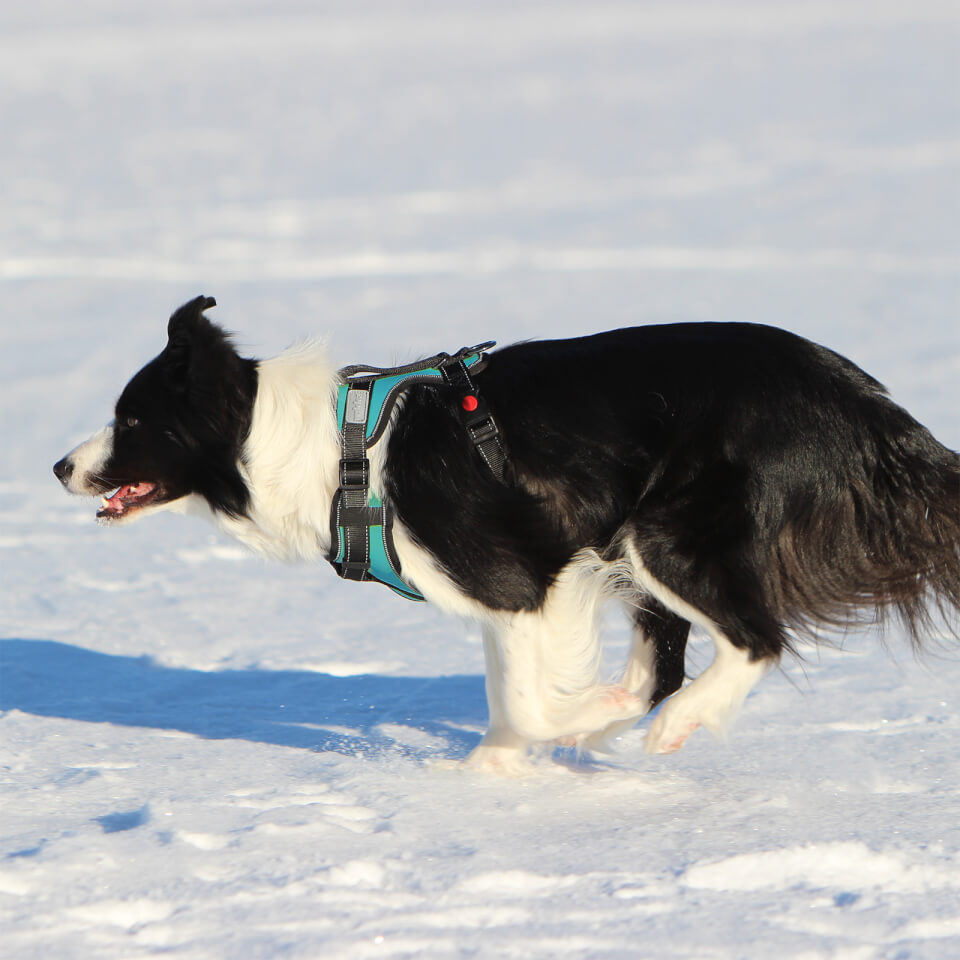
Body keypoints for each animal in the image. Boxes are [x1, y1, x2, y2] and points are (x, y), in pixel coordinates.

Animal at [54, 294, 960, 772]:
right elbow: (510, 696)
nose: (60, 466)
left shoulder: (517, 579)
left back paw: (670, 725)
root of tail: (865, 403)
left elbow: (524, 699)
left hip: (666, 534)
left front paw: (545, 736)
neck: (333, 450)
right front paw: (493, 775)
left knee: (753, 640)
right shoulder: (521, 593)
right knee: (661, 665)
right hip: (637, 539)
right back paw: (620, 716)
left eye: (131, 419)